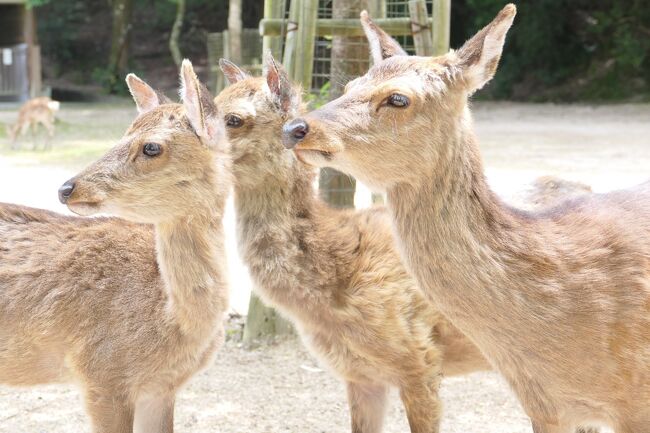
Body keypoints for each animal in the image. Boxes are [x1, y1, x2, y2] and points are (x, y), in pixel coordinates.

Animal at [0, 59, 230, 430]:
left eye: (151, 147)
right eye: (123, 133)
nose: (66, 188)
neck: (175, 321)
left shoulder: (161, 387)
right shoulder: (101, 373)